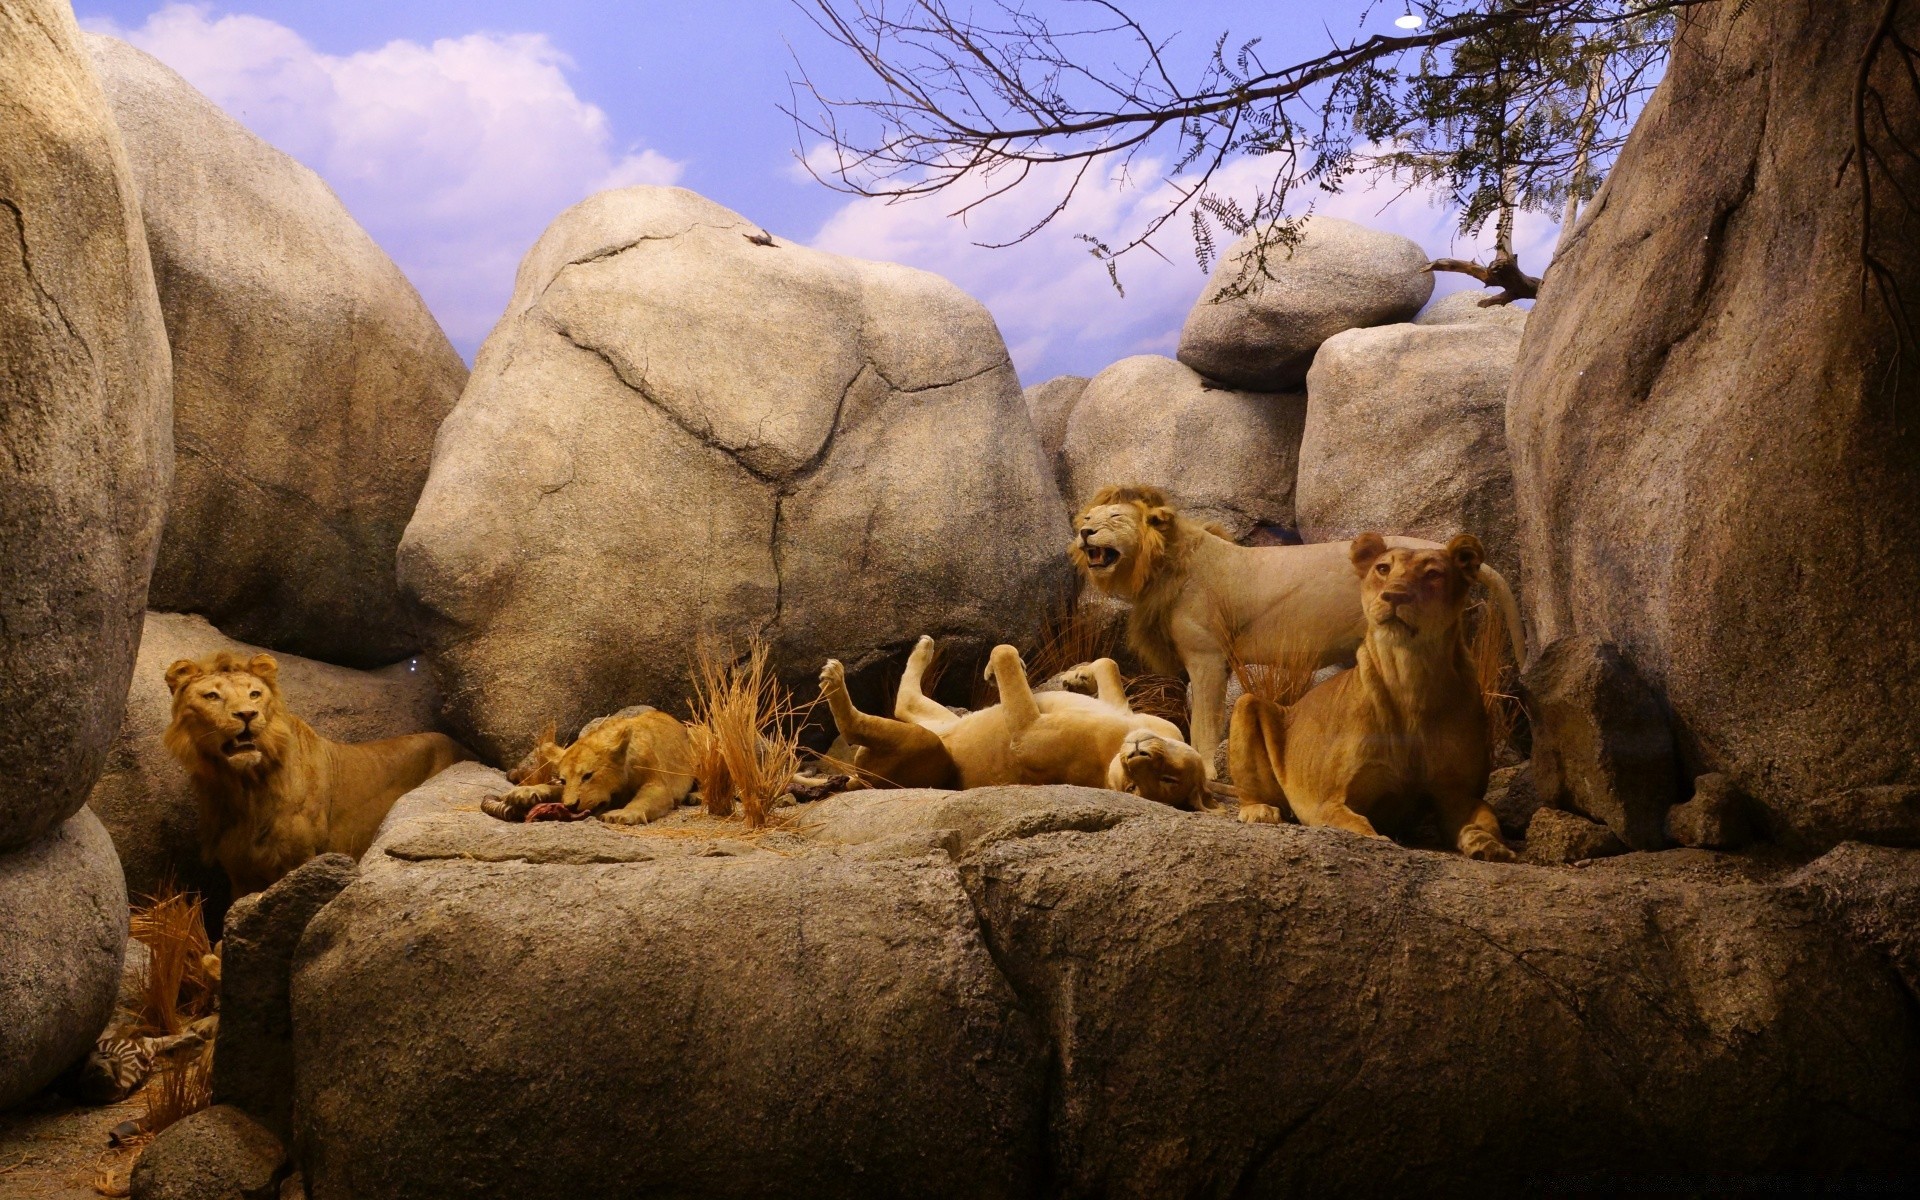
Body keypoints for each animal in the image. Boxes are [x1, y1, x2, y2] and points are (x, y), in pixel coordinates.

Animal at [162, 648, 468, 894]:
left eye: (254, 694)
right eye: (212, 696)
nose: (247, 714)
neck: (244, 786)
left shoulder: (301, 858)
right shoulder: (240, 872)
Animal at [480, 702, 698, 821]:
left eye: (588, 776)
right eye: (564, 779)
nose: (570, 806)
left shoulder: (659, 784)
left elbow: (644, 799)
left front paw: (621, 815)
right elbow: (553, 788)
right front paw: (522, 793)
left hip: (697, 735)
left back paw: (696, 796)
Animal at [817, 633, 1205, 810]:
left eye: (1135, 789)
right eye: (1169, 777)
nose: (1138, 755)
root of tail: (859, 782)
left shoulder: (1026, 733)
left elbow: (1003, 651)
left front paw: (1001, 667)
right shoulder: (1129, 712)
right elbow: (1108, 663)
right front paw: (1077, 677)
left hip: (927, 745)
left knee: (860, 725)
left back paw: (833, 678)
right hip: (939, 718)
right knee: (904, 699)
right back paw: (923, 647)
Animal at [1228, 533, 1512, 860]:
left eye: (1433, 574)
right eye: (1383, 569)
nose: (1395, 596)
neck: (1410, 678)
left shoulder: (1459, 795)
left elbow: (1485, 819)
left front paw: (1489, 845)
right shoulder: (1327, 802)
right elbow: (1359, 825)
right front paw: (1379, 841)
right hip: (1248, 703)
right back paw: (1260, 810)